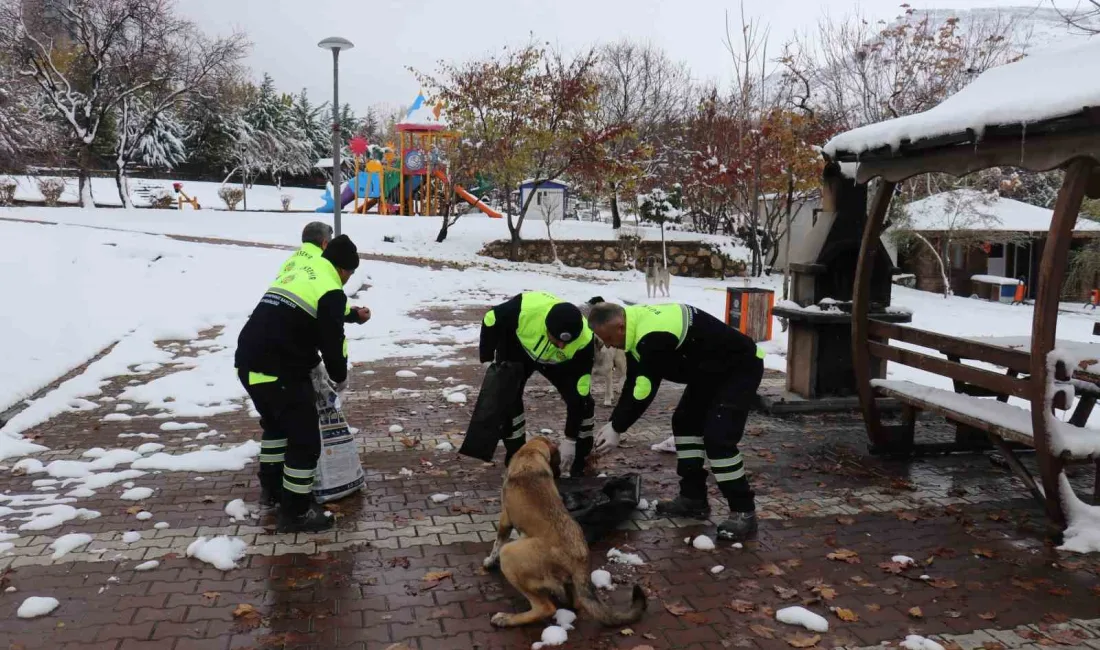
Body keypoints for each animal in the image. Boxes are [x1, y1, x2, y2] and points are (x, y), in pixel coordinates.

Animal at [481, 435, 642, 629]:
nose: (559, 474)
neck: (530, 454)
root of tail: (579, 560)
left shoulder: (505, 518)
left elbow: (497, 542)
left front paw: (490, 561)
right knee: (576, 603)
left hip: (510, 554)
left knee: (545, 608)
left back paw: (506, 619)